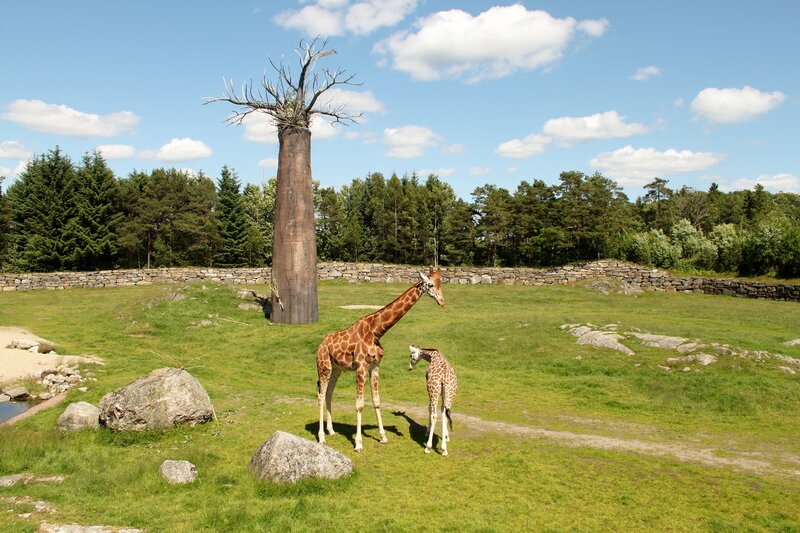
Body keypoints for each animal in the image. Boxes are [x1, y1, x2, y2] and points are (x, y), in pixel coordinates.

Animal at [317, 268, 444, 452]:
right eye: (430, 284)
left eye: (442, 283)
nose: (442, 301)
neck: (376, 331)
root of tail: (320, 345)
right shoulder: (361, 366)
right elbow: (360, 404)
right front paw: (358, 443)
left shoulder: (375, 366)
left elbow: (377, 401)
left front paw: (383, 437)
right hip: (324, 366)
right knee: (320, 395)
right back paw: (321, 437)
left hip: (336, 369)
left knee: (328, 393)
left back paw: (331, 431)